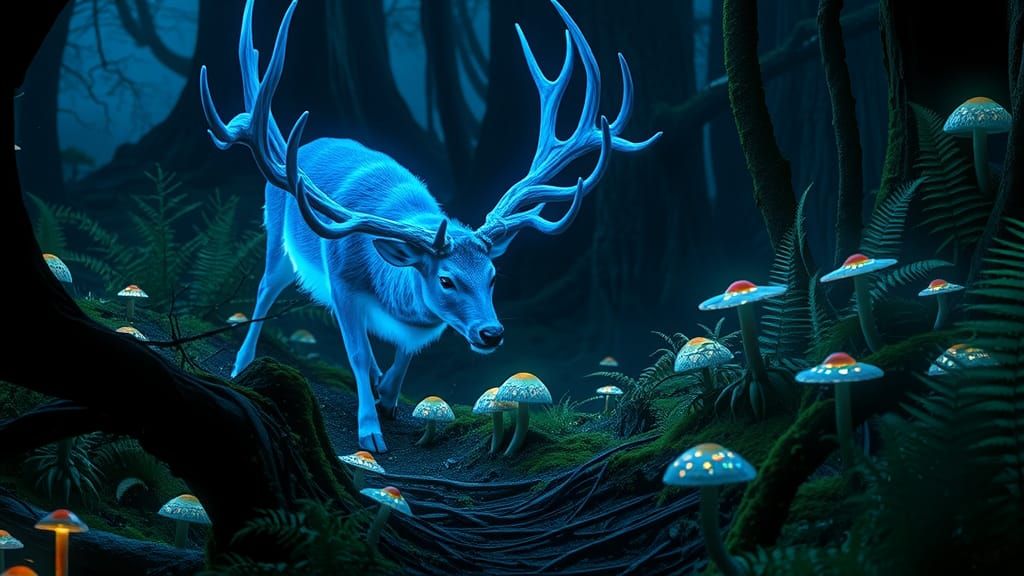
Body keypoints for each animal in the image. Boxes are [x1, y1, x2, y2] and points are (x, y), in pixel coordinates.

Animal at [200, 0, 660, 452]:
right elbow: (356, 353)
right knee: (265, 289)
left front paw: (388, 395)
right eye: (447, 279)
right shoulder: (343, 280)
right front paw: (370, 430)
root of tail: (317, 140)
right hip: (278, 234)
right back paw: (242, 364)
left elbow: (404, 350)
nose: (492, 333)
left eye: (493, 276)